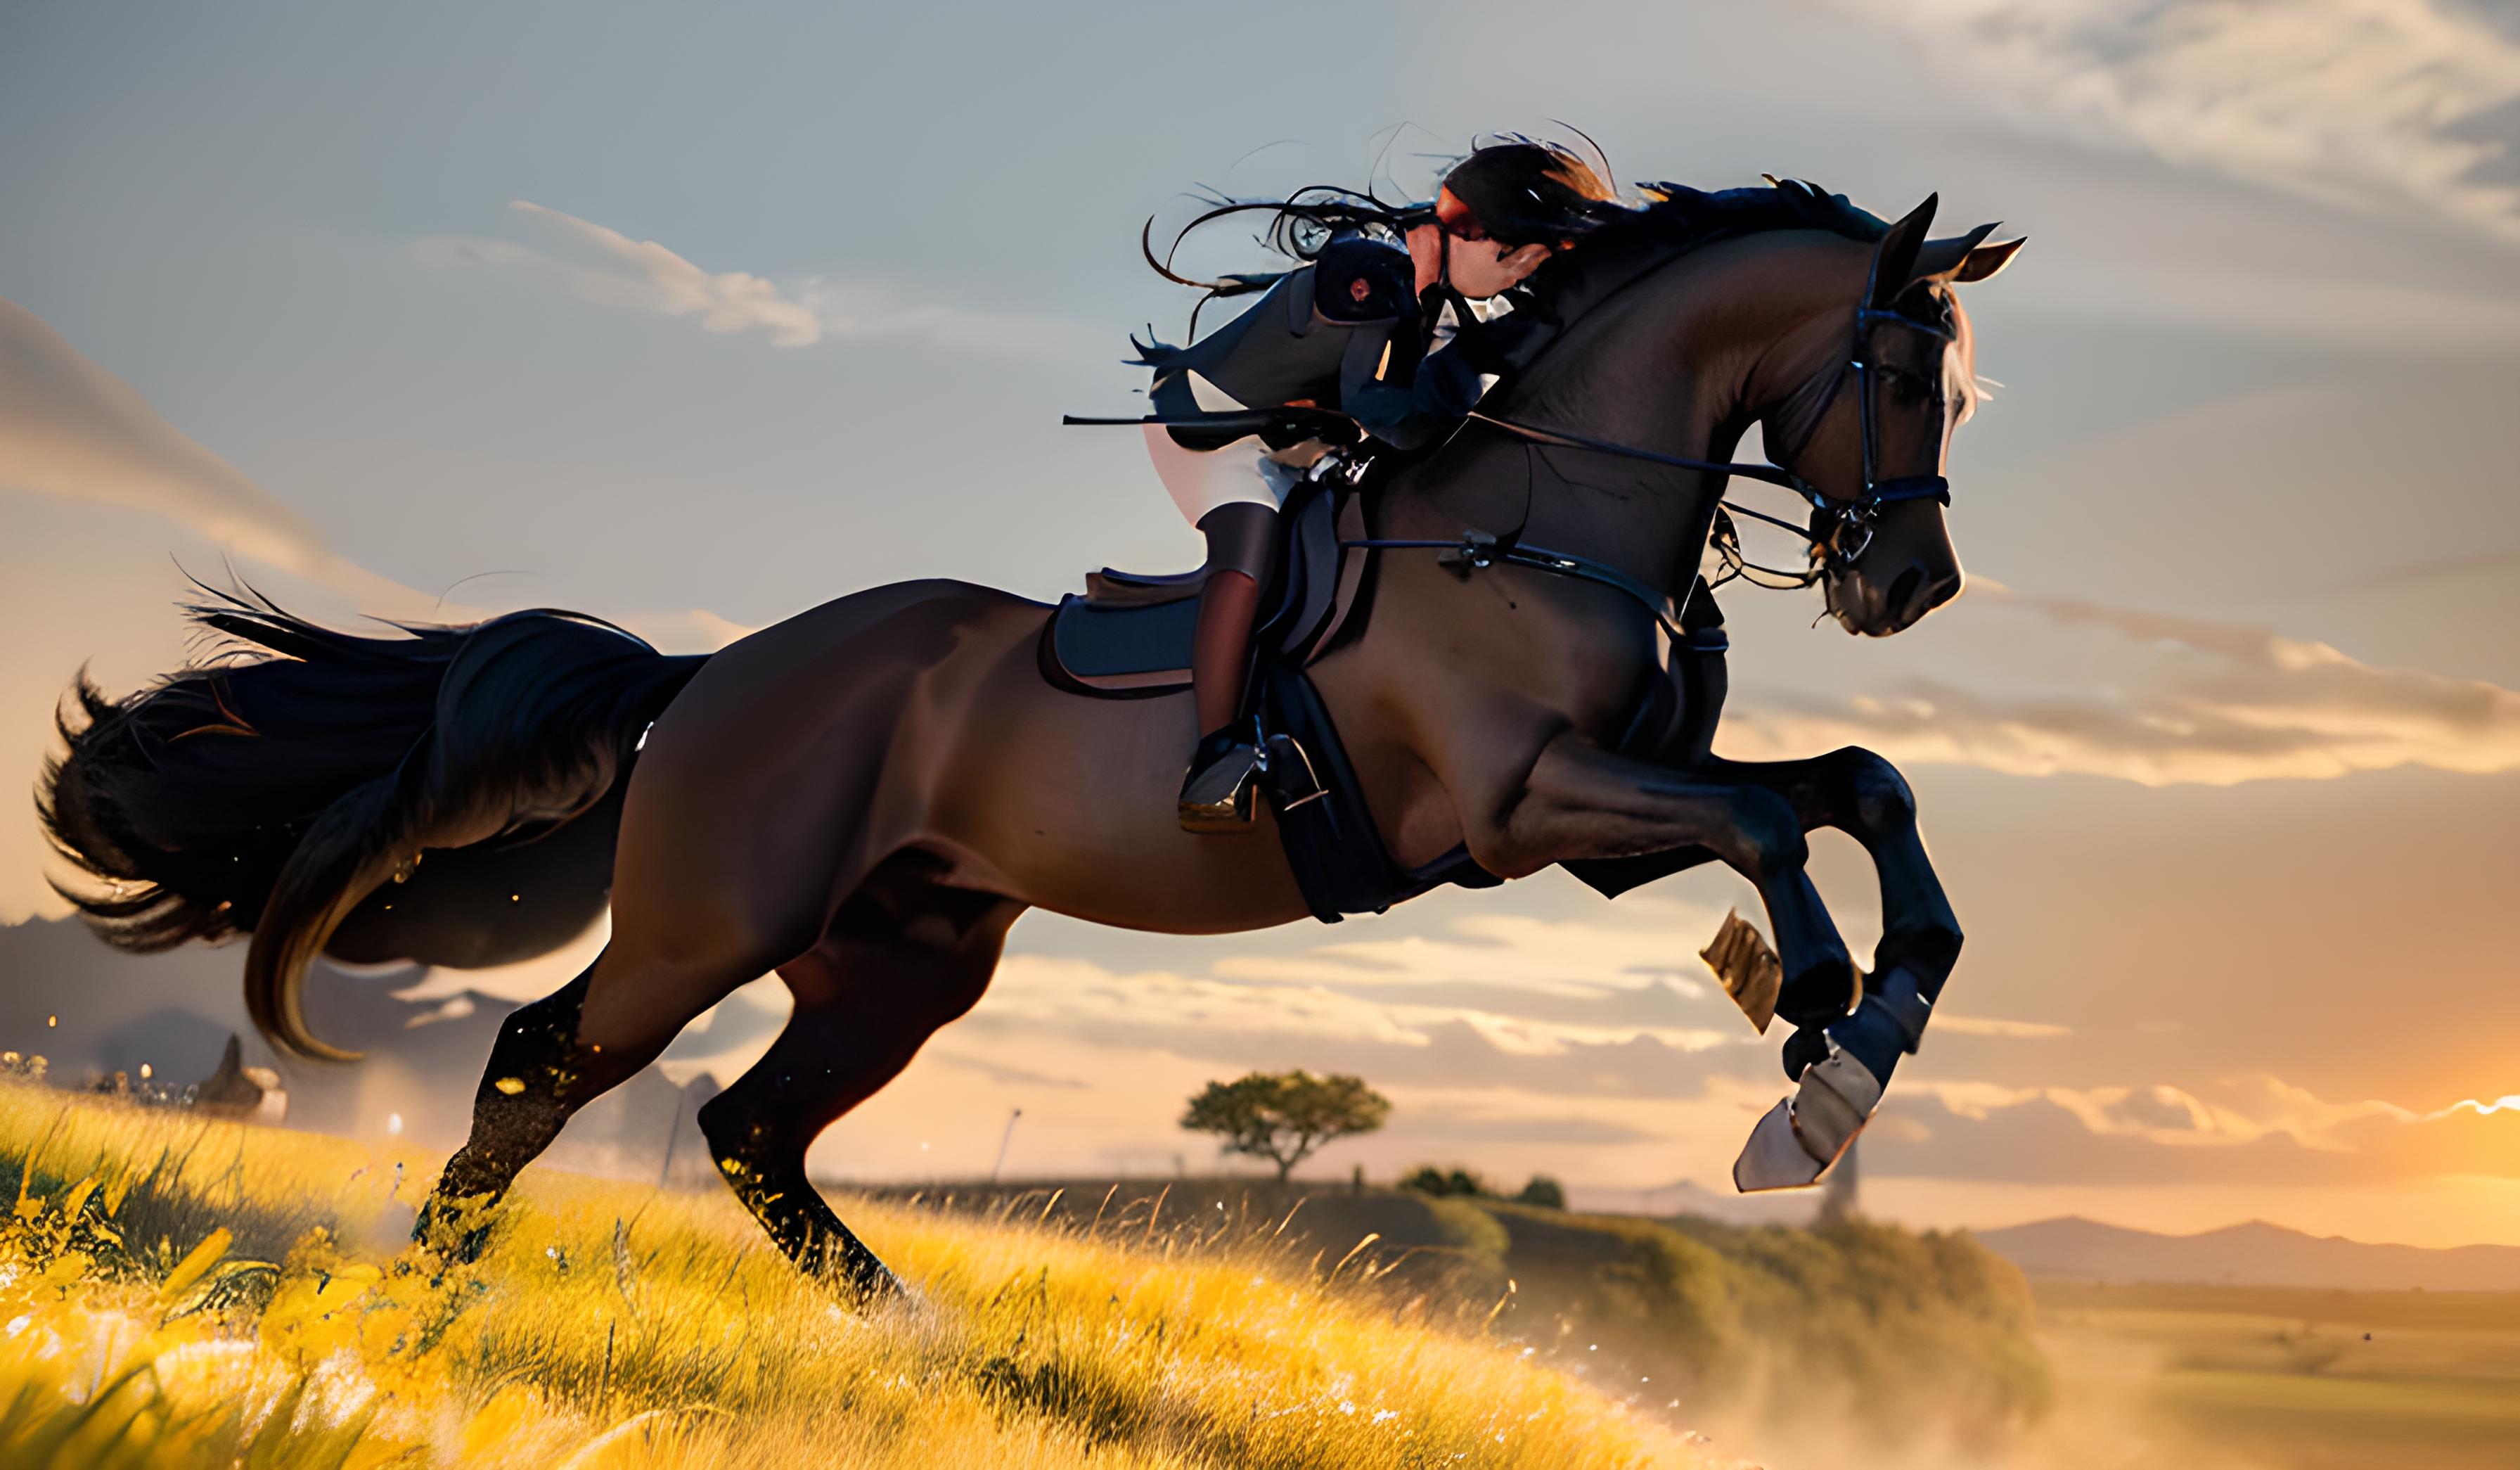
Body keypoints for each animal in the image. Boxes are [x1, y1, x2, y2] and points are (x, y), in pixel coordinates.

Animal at [44, 184, 2026, 1300]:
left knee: (750, 1126)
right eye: (1899, 372)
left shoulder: (1590, 827)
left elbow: (1855, 794)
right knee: (551, 1055)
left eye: (1968, 386)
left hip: (908, 955)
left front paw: (1869, 1025)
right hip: (714, 921)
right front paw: (1812, 1053)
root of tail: (714, 671)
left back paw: (910, 1328)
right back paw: (429, 1289)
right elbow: (1781, 831)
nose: (1911, 583)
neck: (1548, 510)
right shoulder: (1530, 797)